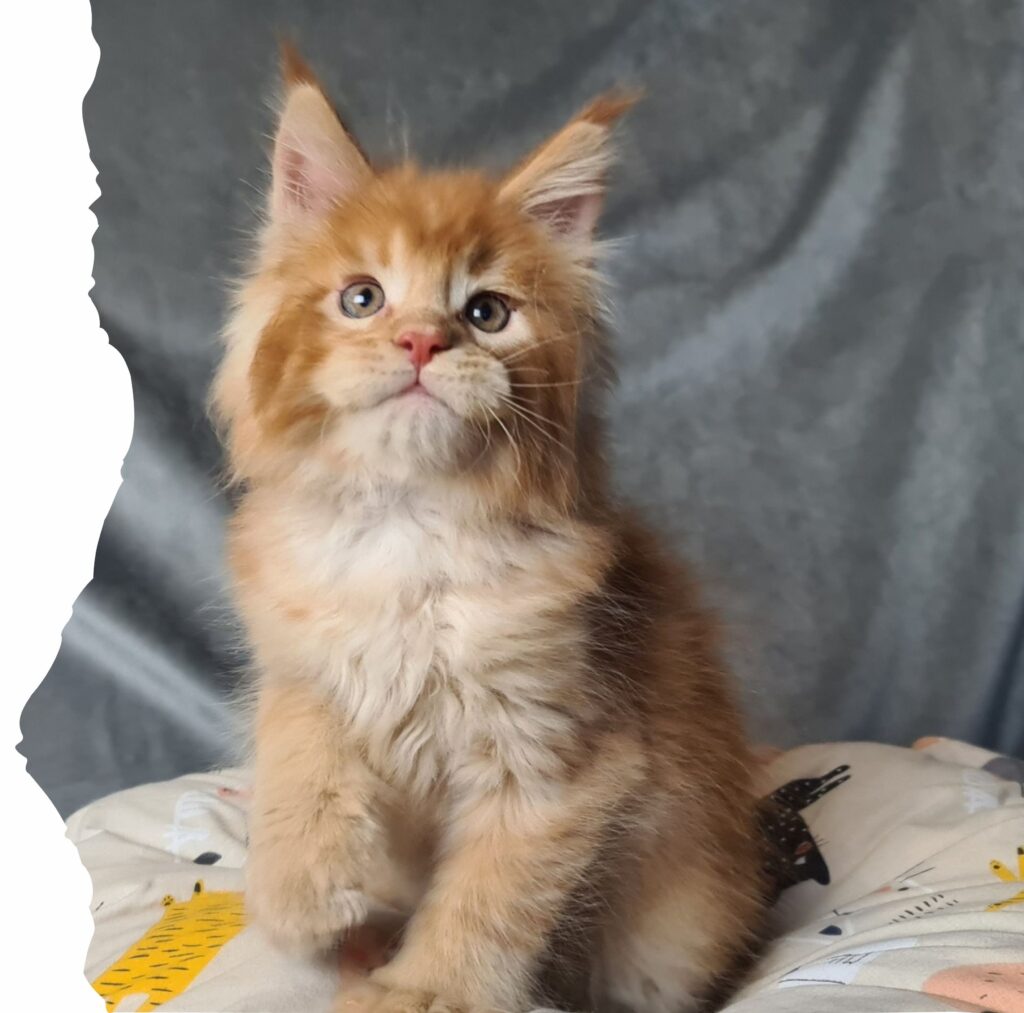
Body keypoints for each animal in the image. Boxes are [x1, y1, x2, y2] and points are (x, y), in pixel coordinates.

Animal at [212, 44, 768, 1013]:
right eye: (363, 297)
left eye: (486, 313)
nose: (423, 342)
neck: (409, 524)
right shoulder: (302, 660)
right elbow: (295, 746)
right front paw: (297, 891)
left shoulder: (560, 756)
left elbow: (489, 896)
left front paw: (424, 989)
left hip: (674, 932)